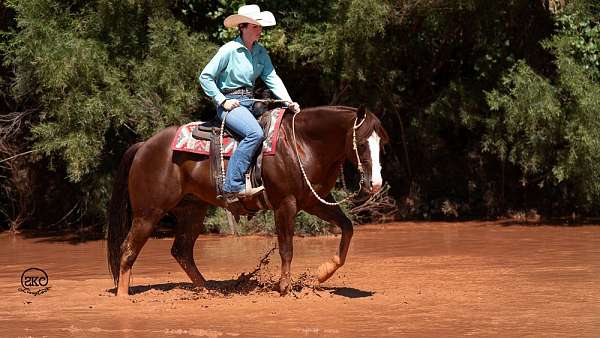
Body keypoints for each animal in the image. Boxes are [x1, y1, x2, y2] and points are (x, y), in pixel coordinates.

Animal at [107, 105, 390, 296]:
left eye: (382, 144)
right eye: (361, 143)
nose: (375, 184)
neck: (301, 144)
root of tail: (144, 145)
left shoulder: (314, 202)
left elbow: (347, 228)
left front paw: (323, 273)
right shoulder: (285, 205)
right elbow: (287, 248)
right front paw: (285, 287)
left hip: (192, 210)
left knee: (182, 251)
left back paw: (209, 290)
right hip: (148, 212)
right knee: (128, 249)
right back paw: (123, 298)